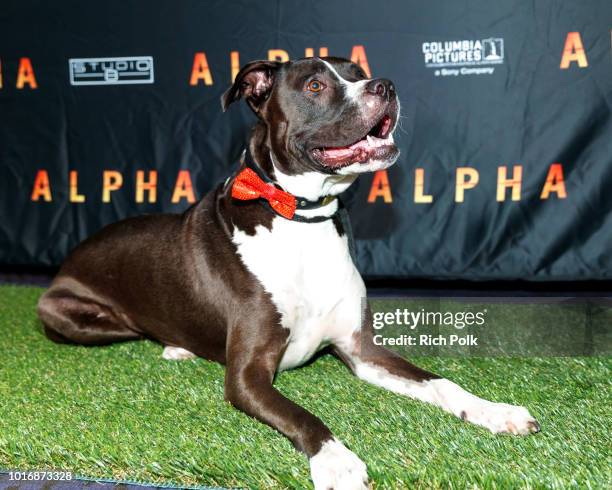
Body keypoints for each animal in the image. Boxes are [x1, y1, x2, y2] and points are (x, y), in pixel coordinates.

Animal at [38, 58, 536, 490]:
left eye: (359, 72)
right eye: (315, 86)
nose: (385, 86)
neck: (301, 219)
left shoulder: (362, 350)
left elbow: (440, 382)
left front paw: (494, 411)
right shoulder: (247, 376)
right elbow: (303, 415)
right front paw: (337, 461)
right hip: (71, 316)